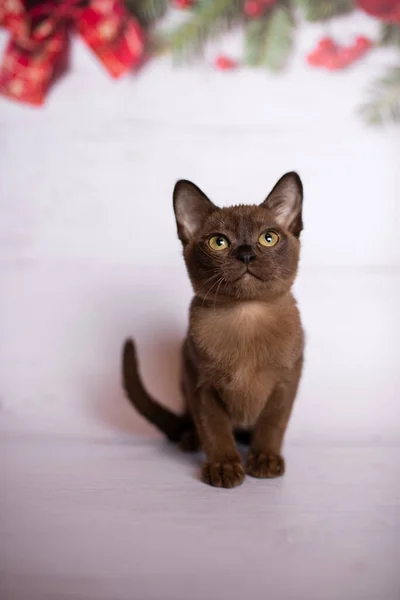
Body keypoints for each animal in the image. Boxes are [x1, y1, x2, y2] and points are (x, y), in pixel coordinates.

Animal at [122, 172, 304, 488]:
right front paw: (223, 467)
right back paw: (189, 440)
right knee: (194, 426)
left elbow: (272, 425)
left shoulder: (284, 384)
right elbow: (215, 430)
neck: (246, 316)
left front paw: (265, 461)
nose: (245, 254)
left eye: (268, 238)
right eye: (219, 242)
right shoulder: (201, 386)